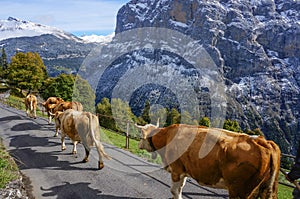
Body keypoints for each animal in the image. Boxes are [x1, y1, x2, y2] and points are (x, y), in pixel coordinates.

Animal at [136, 121, 282, 199]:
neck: (167, 136)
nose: (139, 144)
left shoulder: (176, 169)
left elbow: (174, 190)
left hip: (239, 190)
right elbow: (180, 188)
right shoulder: (184, 170)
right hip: (265, 189)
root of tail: (262, 141)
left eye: (141, 135)